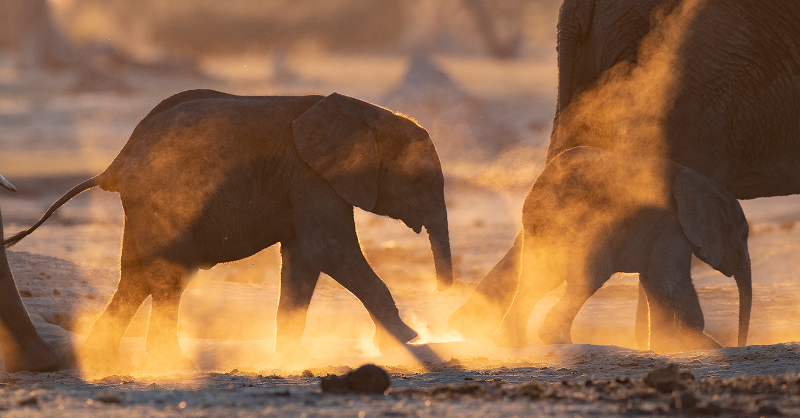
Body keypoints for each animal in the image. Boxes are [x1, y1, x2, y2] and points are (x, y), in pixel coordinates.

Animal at [488, 147, 751, 351]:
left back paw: (510, 342)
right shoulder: (673, 225)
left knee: (540, 277)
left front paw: (667, 345)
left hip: (543, 227)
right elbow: (668, 279)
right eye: (743, 236)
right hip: (582, 224)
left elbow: (653, 282)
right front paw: (698, 343)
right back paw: (557, 340)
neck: (703, 183)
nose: (740, 346)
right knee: (589, 277)